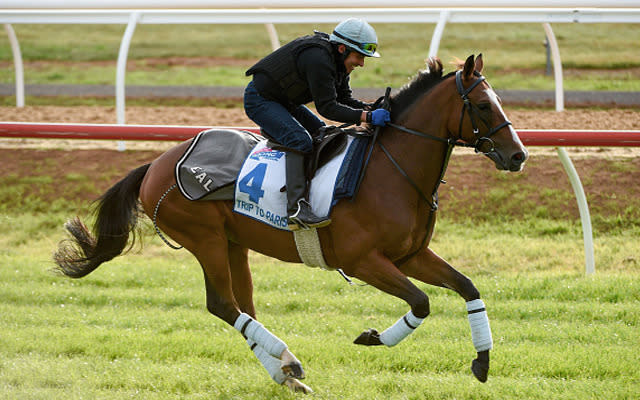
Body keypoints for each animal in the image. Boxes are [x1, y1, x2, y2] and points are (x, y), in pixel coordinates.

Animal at [52, 54, 528, 394]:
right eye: (482, 105)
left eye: (500, 101)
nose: (518, 155)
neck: (391, 170)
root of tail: (155, 165)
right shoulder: (362, 260)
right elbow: (422, 303)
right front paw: (373, 337)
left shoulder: (410, 254)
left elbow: (468, 287)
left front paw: (483, 361)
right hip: (204, 238)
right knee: (222, 305)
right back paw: (288, 361)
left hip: (233, 242)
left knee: (241, 306)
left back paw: (285, 371)